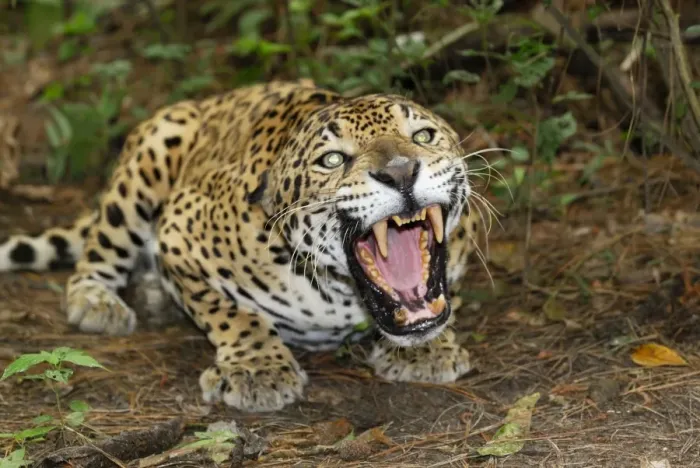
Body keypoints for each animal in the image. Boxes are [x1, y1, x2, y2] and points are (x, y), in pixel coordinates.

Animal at [0, 80, 483, 412]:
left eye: (423, 136)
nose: (401, 171)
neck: (344, 297)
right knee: (101, 249)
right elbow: (230, 312)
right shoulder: (179, 233)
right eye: (331, 160)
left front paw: (426, 350)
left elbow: (446, 299)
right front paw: (257, 368)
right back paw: (98, 301)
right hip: (149, 157)